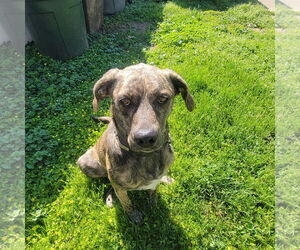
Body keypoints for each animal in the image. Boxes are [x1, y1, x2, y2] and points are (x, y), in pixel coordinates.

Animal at [77, 63, 195, 224]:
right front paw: (133, 215)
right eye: (125, 101)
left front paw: (154, 206)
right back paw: (110, 198)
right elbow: (127, 202)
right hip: (87, 162)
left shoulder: (154, 182)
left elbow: (153, 194)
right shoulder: (120, 188)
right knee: (108, 181)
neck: (145, 158)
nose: (145, 138)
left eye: (162, 98)